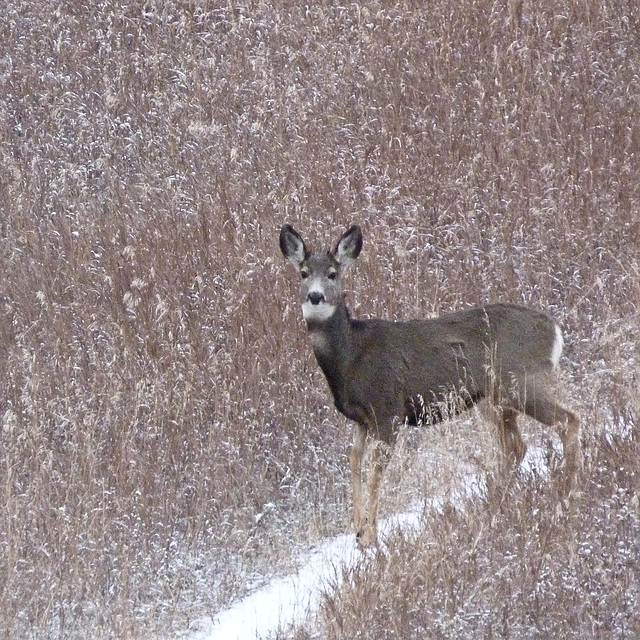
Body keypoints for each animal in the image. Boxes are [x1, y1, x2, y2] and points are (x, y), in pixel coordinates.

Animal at [280, 224, 580, 544]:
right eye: (303, 272)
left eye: (333, 273)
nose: (315, 296)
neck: (350, 357)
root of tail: (555, 330)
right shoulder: (362, 419)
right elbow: (354, 460)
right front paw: (358, 530)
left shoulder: (387, 410)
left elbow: (376, 468)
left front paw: (370, 534)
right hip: (494, 400)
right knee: (516, 447)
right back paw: (498, 501)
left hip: (520, 383)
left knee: (567, 420)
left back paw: (566, 488)